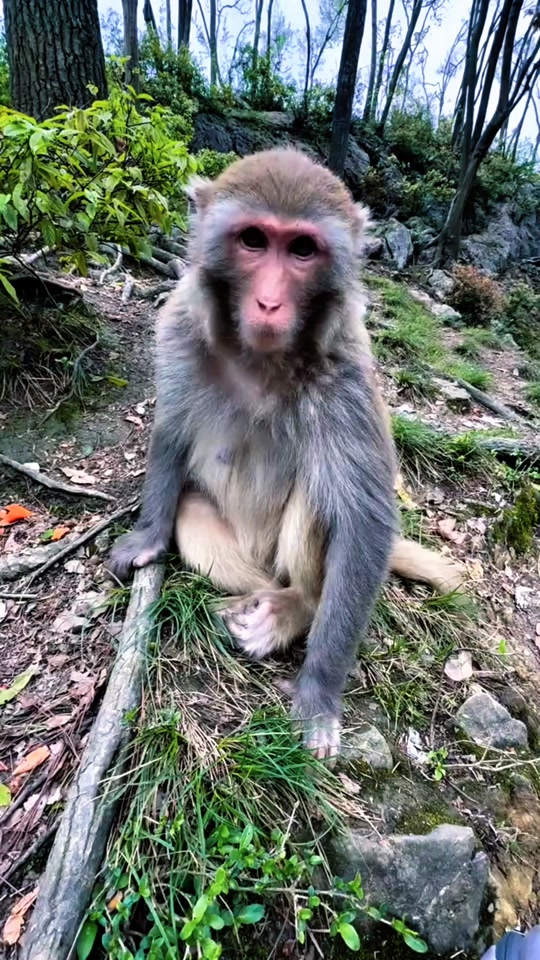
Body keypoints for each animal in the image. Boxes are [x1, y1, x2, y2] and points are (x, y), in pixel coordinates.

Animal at [108, 147, 464, 760]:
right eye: (254, 240)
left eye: (301, 250)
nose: (270, 302)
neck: (262, 360)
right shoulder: (178, 327)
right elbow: (173, 431)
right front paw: (147, 535)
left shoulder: (346, 373)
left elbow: (366, 520)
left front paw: (319, 691)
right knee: (195, 517)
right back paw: (255, 599)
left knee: (323, 501)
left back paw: (296, 606)